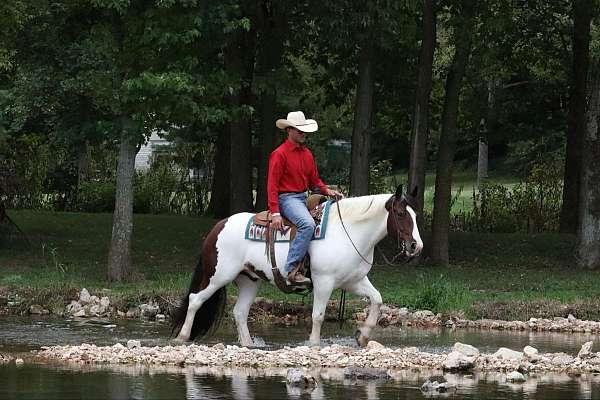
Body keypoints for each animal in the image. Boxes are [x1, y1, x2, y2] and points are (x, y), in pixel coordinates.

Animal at [170, 184, 422, 346]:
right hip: (218, 276)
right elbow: (318, 315)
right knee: (195, 300)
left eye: (416, 215)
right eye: (401, 213)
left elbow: (377, 299)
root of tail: (219, 226)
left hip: (249, 280)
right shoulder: (323, 282)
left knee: (240, 312)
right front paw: (314, 344)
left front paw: (363, 335)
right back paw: (182, 337)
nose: (415, 246)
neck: (348, 231)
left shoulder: (353, 281)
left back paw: (249, 344)